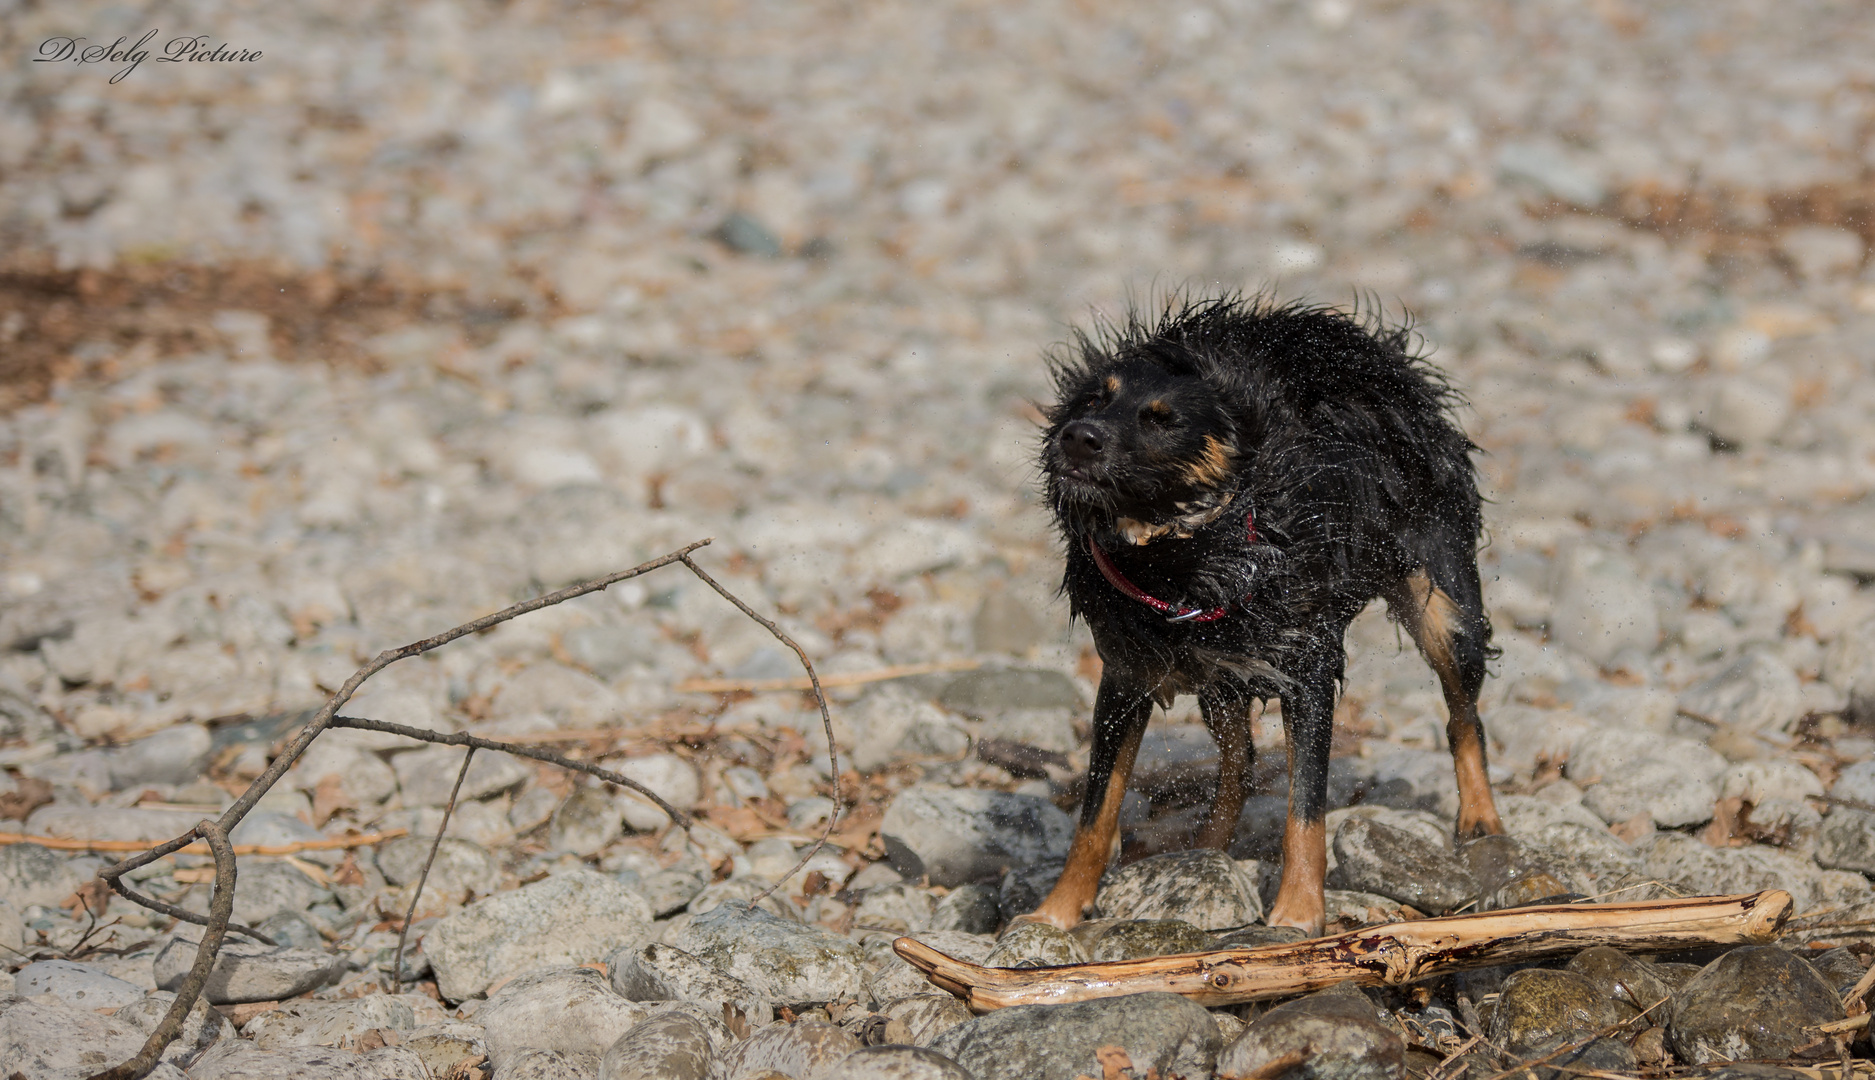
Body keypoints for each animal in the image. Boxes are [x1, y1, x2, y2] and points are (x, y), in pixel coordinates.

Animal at [1020, 298, 1500, 937]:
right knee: (1239, 760)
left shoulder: (1307, 668)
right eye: (1095, 399)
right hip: (1221, 674)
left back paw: (1480, 819)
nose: (1077, 437)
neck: (1181, 556)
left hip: (1447, 607)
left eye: (1163, 419)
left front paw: (1297, 913)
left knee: (1463, 714)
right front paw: (1056, 911)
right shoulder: (1127, 675)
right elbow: (1096, 814)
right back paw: (1209, 847)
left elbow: (1306, 811)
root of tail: (1392, 365)